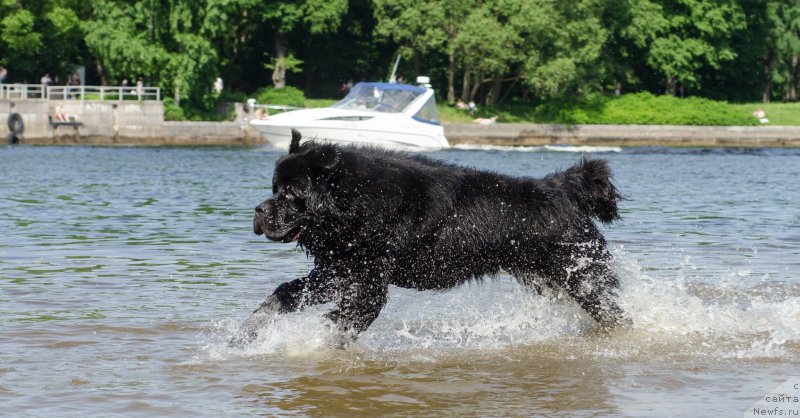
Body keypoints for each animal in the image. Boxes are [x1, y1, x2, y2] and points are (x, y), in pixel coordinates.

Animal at [231, 131, 632, 346]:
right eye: (274, 188)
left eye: (290, 193)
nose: (258, 210)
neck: (355, 201)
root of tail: (561, 188)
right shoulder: (340, 270)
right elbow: (284, 294)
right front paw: (246, 335)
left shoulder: (368, 283)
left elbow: (345, 321)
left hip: (585, 276)